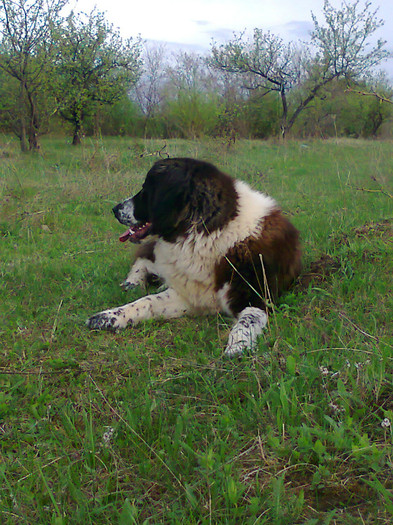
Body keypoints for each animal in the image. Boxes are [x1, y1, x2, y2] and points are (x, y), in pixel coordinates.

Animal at [86, 158, 300, 356]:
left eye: (146, 190)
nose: (115, 209)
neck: (210, 233)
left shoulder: (256, 299)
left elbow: (248, 320)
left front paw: (238, 345)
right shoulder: (189, 295)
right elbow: (146, 301)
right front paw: (109, 316)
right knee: (145, 259)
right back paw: (133, 281)